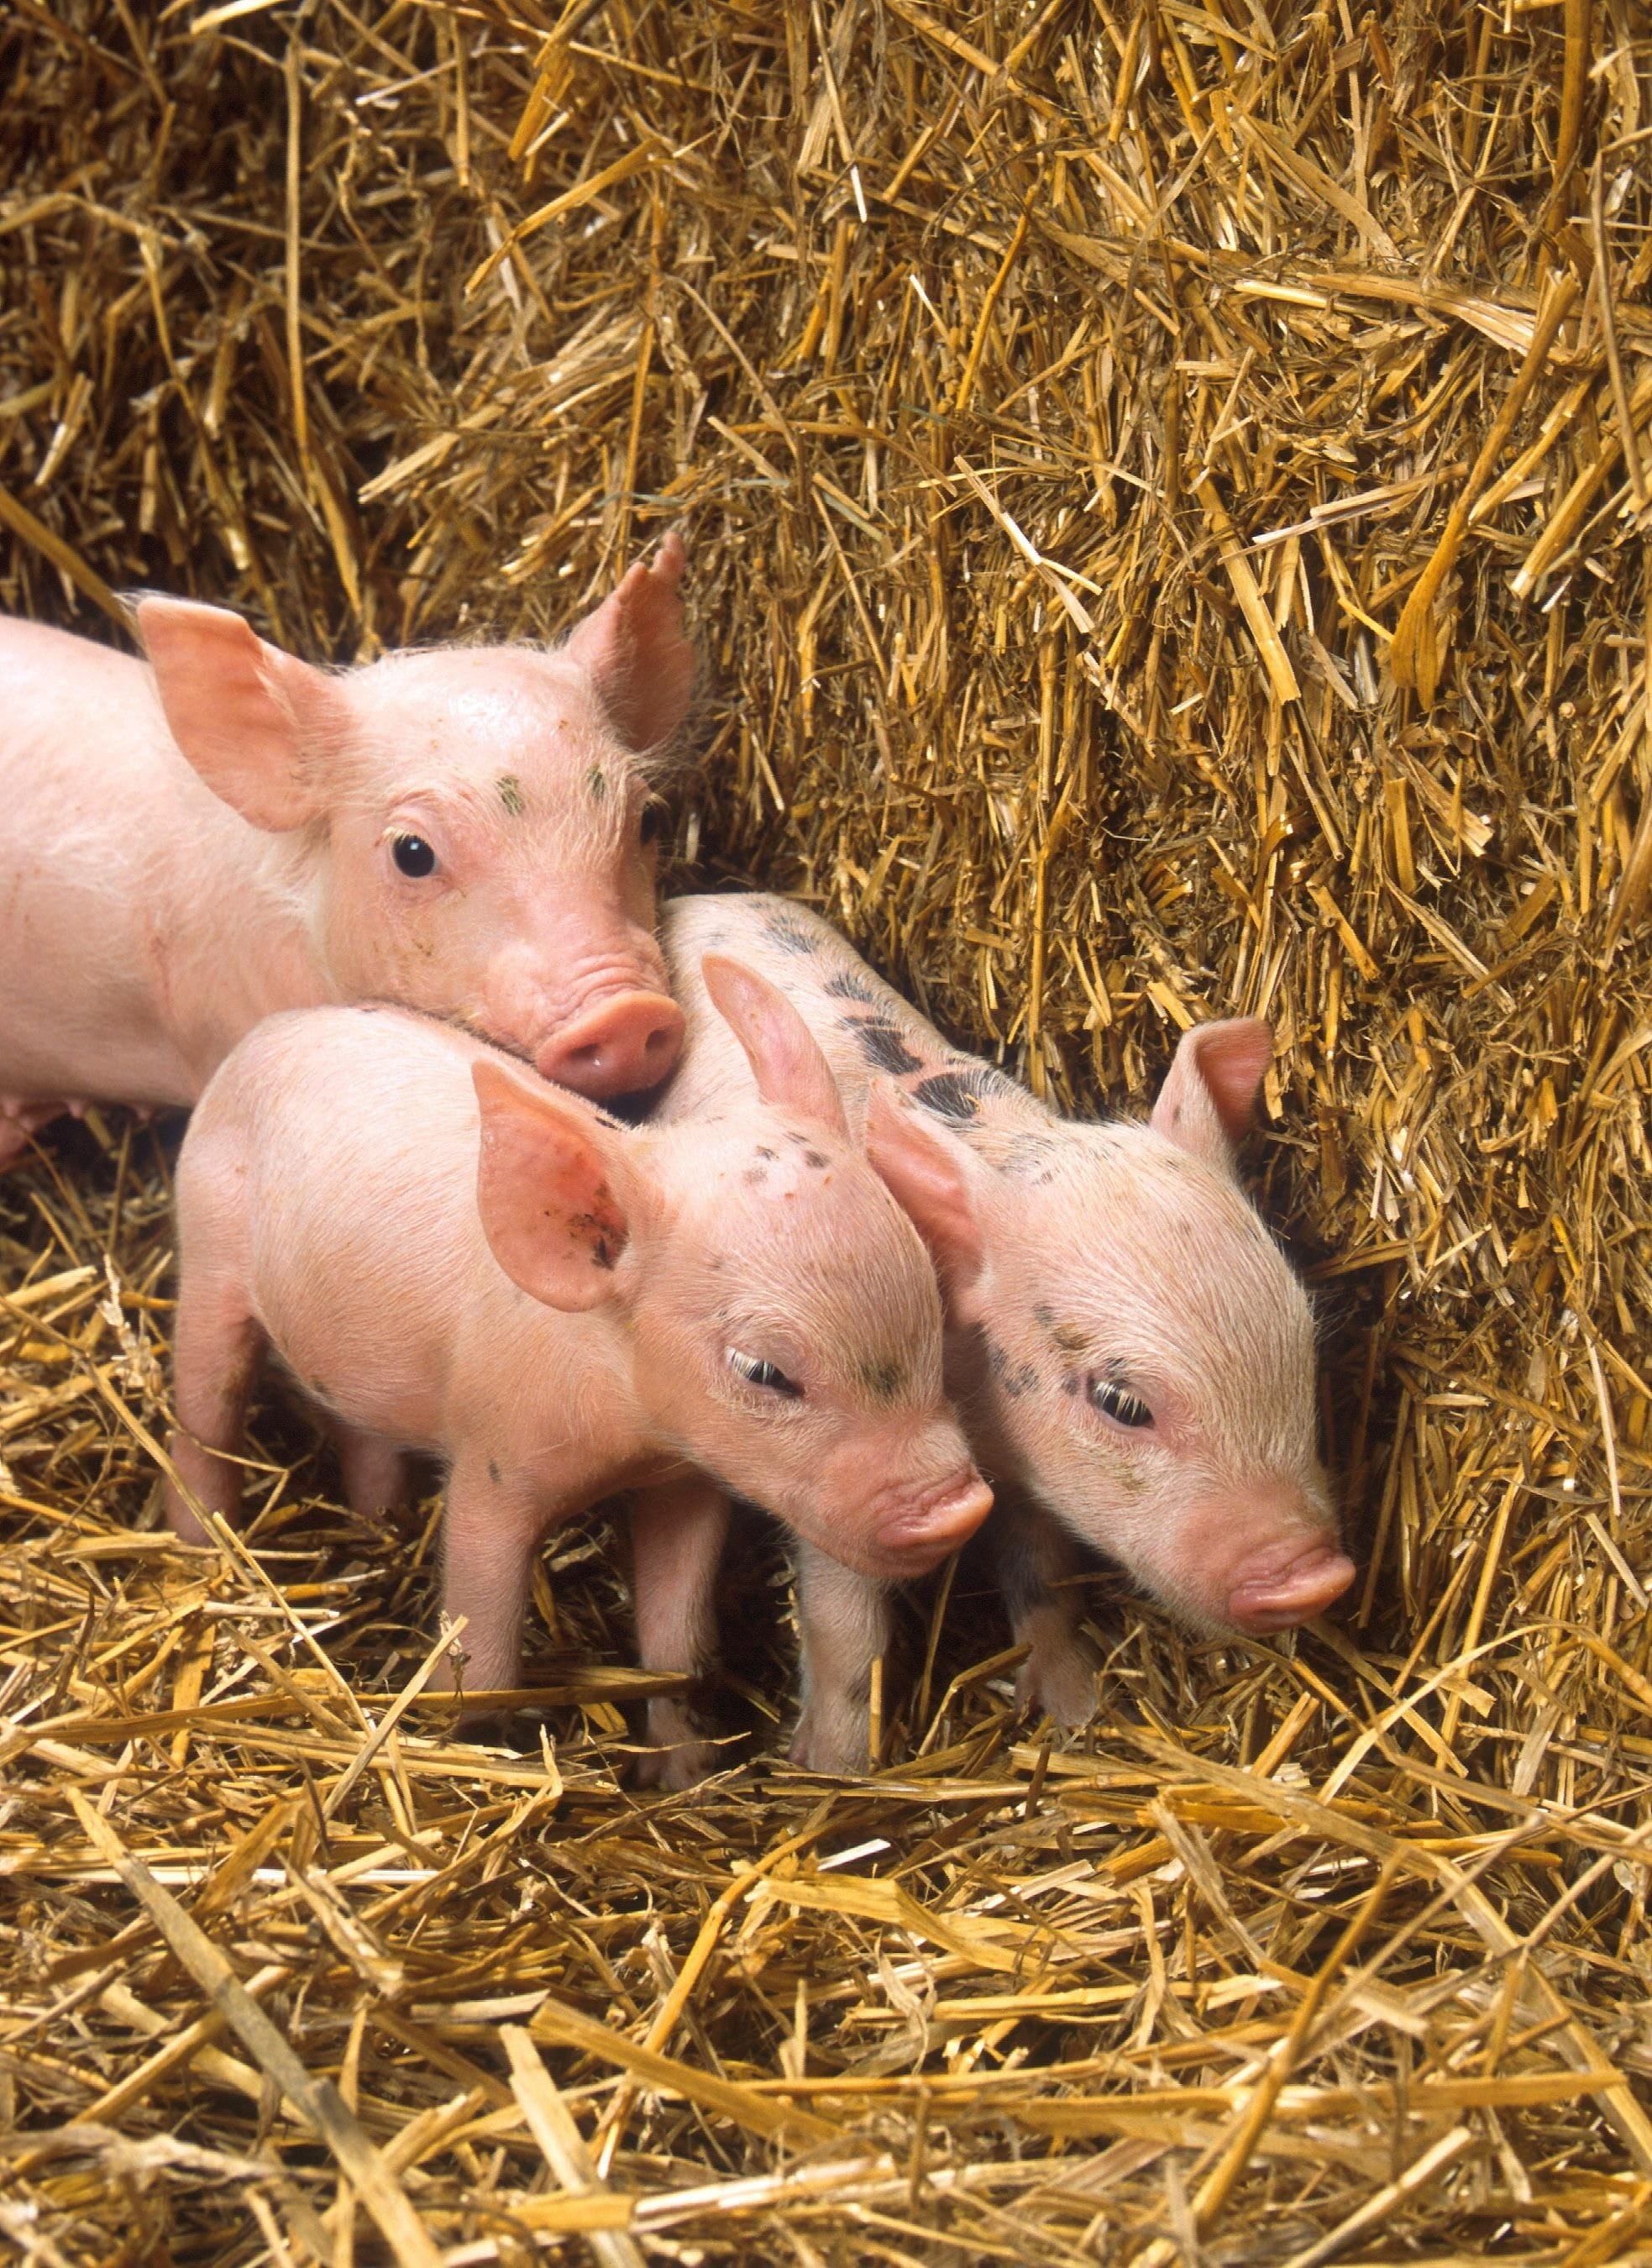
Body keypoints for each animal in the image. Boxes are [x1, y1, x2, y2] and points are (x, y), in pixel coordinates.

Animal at [163, 962, 993, 1765]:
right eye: (761, 1370)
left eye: (927, 1301)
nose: (959, 1505)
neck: (626, 1437)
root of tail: (272, 1030)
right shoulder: (491, 1458)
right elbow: (483, 1634)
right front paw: (488, 1748)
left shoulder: (687, 1480)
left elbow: (676, 1635)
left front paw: (683, 1771)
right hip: (207, 1253)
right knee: (201, 1414)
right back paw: (201, 1544)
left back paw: (378, 1519)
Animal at [629, 892, 1354, 1774]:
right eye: (1121, 1402)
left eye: (1303, 1345)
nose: (1317, 1577)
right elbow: (845, 1616)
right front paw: (834, 1769)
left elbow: (1041, 1571)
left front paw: (1076, 1712)